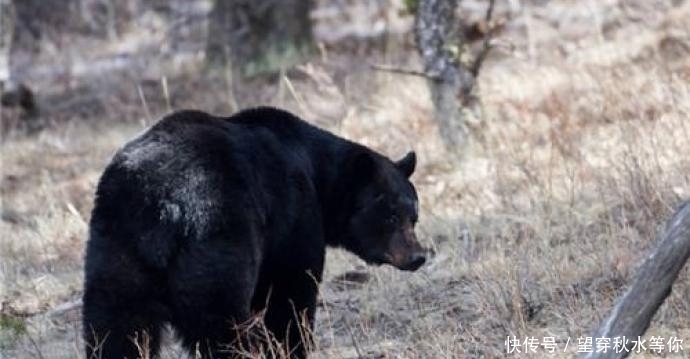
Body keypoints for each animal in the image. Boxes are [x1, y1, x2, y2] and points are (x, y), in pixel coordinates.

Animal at [83, 107, 422, 359]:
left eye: (414, 216)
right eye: (391, 215)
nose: (418, 256)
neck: (316, 170)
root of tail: (161, 202)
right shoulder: (293, 217)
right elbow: (291, 292)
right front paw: (290, 346)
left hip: (117, 250)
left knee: (115, 327)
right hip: (217, 235)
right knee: (221, 321)